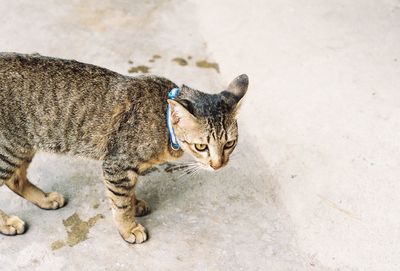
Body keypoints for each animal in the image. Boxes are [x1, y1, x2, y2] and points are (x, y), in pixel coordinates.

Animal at [0, 52, 248, 244]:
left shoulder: (126, 168)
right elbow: (120, 202)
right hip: (9, 150)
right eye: (201, 146)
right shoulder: (117, 164)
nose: (218, 165)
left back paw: (45, 199)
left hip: (23, 145)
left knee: (16, 179)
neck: (163, 121)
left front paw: (135, 204)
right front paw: (129, 227)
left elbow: (128, 194)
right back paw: (8, 223)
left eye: (229, 143)